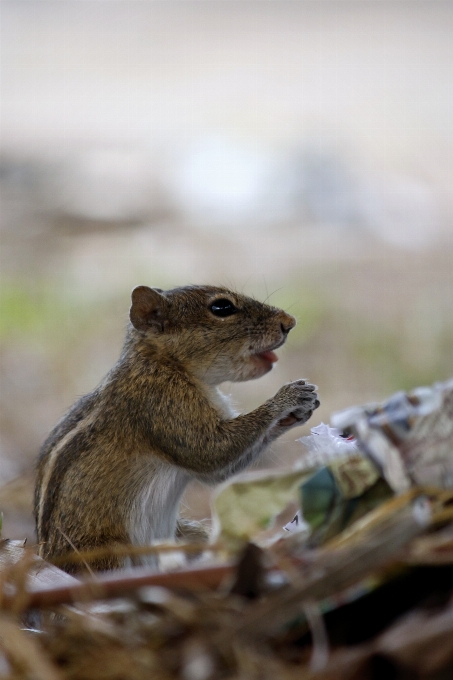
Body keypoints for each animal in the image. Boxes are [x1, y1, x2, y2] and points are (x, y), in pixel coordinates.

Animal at [34, 284, 318, 572]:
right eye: (222, 308)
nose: (289, 322)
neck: (165, 363)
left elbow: (219, 470)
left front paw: (301, 409)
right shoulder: (162, 404)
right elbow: (211, 451)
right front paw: (287, 398)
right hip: (109, 555)